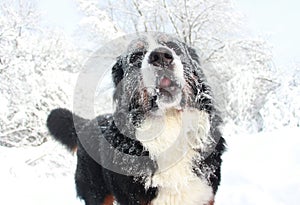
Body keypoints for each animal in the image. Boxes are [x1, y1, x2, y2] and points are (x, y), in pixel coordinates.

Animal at [47, 32, 225, 204]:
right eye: (136, 56)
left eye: (173, 47)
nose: (161, 56)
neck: (169, 124)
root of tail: (87, 124)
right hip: (97, 193)